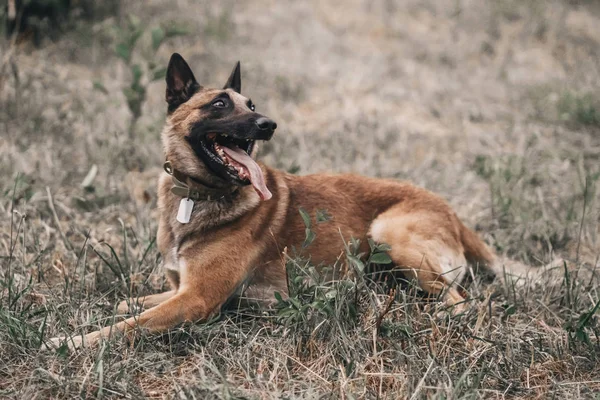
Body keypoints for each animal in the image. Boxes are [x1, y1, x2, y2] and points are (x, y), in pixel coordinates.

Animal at [48, 54, 502, 350]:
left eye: (251, 105)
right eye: (218, 104)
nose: (269, 124)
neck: (200, 196)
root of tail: (452, 211)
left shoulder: (196, 300)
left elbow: (128, 325)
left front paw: (71, 340)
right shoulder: (180, 290)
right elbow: (127, 303)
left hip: (390, 233)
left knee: (461, 302)